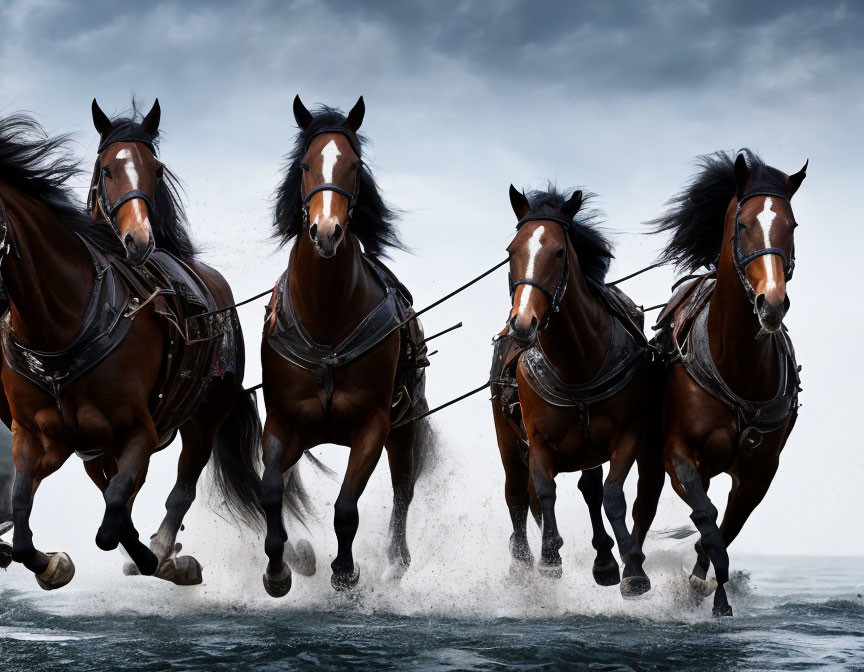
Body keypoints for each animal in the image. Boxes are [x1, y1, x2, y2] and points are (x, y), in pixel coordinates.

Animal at [0, 103, 258, 588]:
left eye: (155, 169)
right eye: (106, 169)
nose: (139, 240)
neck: (62, 325)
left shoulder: (140, 430)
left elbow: (115, 513)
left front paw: (158, 559)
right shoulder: (36, 435)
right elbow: (23, 510)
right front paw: (51, 564)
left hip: (204, 418)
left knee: (178, 486)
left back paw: (165, 554)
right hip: (91, 447)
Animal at [253, 97, 436, 596]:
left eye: (354, 166)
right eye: (305, 164)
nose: (326, 232)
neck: (328, 325)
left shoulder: (373, 424)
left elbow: (346, 506)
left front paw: (345, 571)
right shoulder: (282, 422)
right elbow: (271, 489)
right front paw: (278, 568)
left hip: (406, 424)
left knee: (403, 490)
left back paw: (396, 562)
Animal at [490, 186, 664, 596]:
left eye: (558, 251)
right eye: (511, 250)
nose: (523, 322)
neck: (576, 366)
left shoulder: (628, 434)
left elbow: (612, 495)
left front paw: (631, 568)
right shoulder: (536, 439)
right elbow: (544, 491)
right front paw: (549, 557)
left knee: (591, 489)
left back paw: (604, 559)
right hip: (507, 436)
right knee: (517, 496)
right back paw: (524, 561)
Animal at [652, 150, 808, 616]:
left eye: (792, 225)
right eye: (743, 223)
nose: (771, 302)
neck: (737, 368)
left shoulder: (759, 471)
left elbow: (728, 525)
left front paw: (707, 584)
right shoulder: (678, 452)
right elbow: (706, 515)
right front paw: (708, 587)